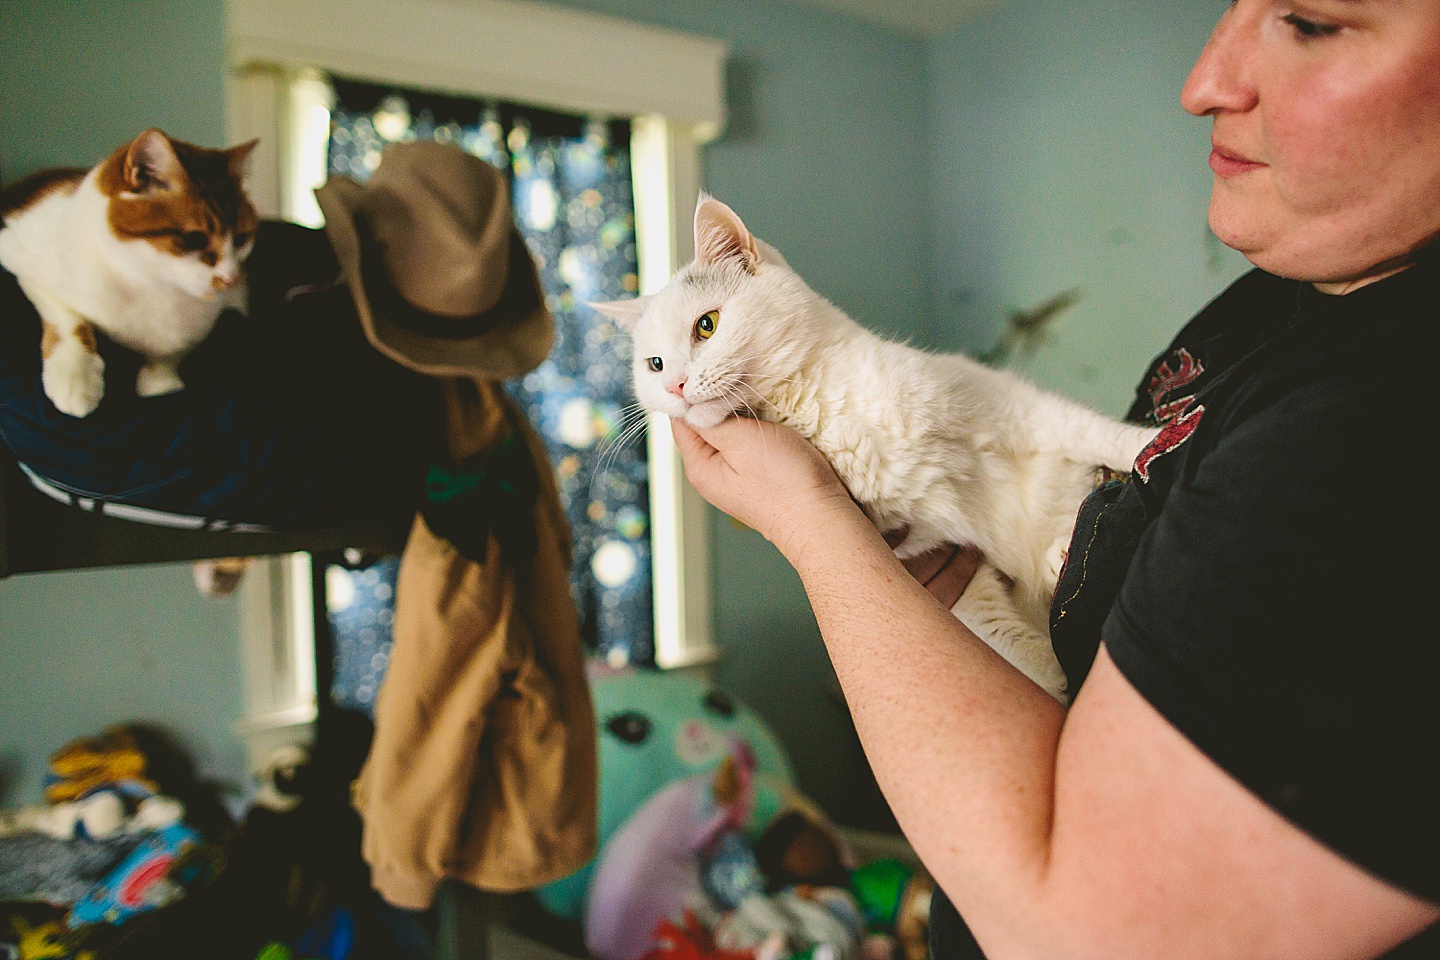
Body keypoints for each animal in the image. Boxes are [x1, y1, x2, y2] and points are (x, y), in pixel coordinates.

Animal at [1, 127, 259, 417]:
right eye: (195, 239)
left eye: (241, 239)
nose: (230, 278)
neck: (151, 283)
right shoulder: (17, 256)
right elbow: (67, 319)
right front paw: (76, 377)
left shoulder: (230, 302)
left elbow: (172, 353)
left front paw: (161, 382)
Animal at [593, 197, 1157, 705]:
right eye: (654, 364)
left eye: (706, 325)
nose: (675, 387)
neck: (815, 404)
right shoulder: (923, 549)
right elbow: (991, 628)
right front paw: (1051, 679)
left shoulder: (1004, 407)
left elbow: (1085, 429)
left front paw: (1151, 444)